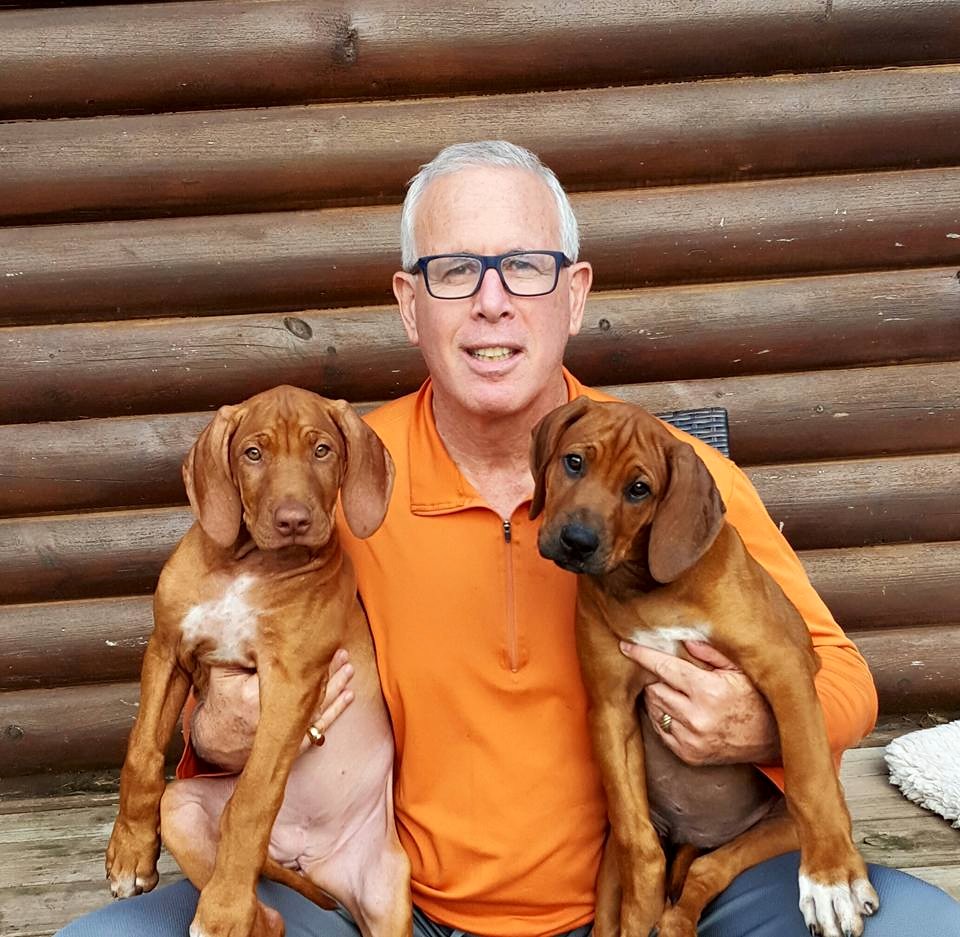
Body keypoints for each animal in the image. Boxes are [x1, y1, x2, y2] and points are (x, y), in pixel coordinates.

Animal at [106, 385, 412, 937]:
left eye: (322, 450)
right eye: (254, 453)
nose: (293, 521)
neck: (247, 566)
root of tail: (307, 859)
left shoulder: (292, 681)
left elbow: (251, 800)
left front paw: (224, 905)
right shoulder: (166, 649)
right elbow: (141, 752)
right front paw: (130, 852)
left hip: (386, 894)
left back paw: (224, 910)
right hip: (180, 808)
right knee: (272, 918)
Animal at [530, 396, 878, 937]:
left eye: (639, 489)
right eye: (574, 462)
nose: (577, 541)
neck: (645, 588)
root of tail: (697, 833)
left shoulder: (783, 666)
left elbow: (809, 776)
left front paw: (830, 880)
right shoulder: (609, 706)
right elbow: (638, 847)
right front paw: (641, 906)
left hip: (773, 832)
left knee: (708, 869)